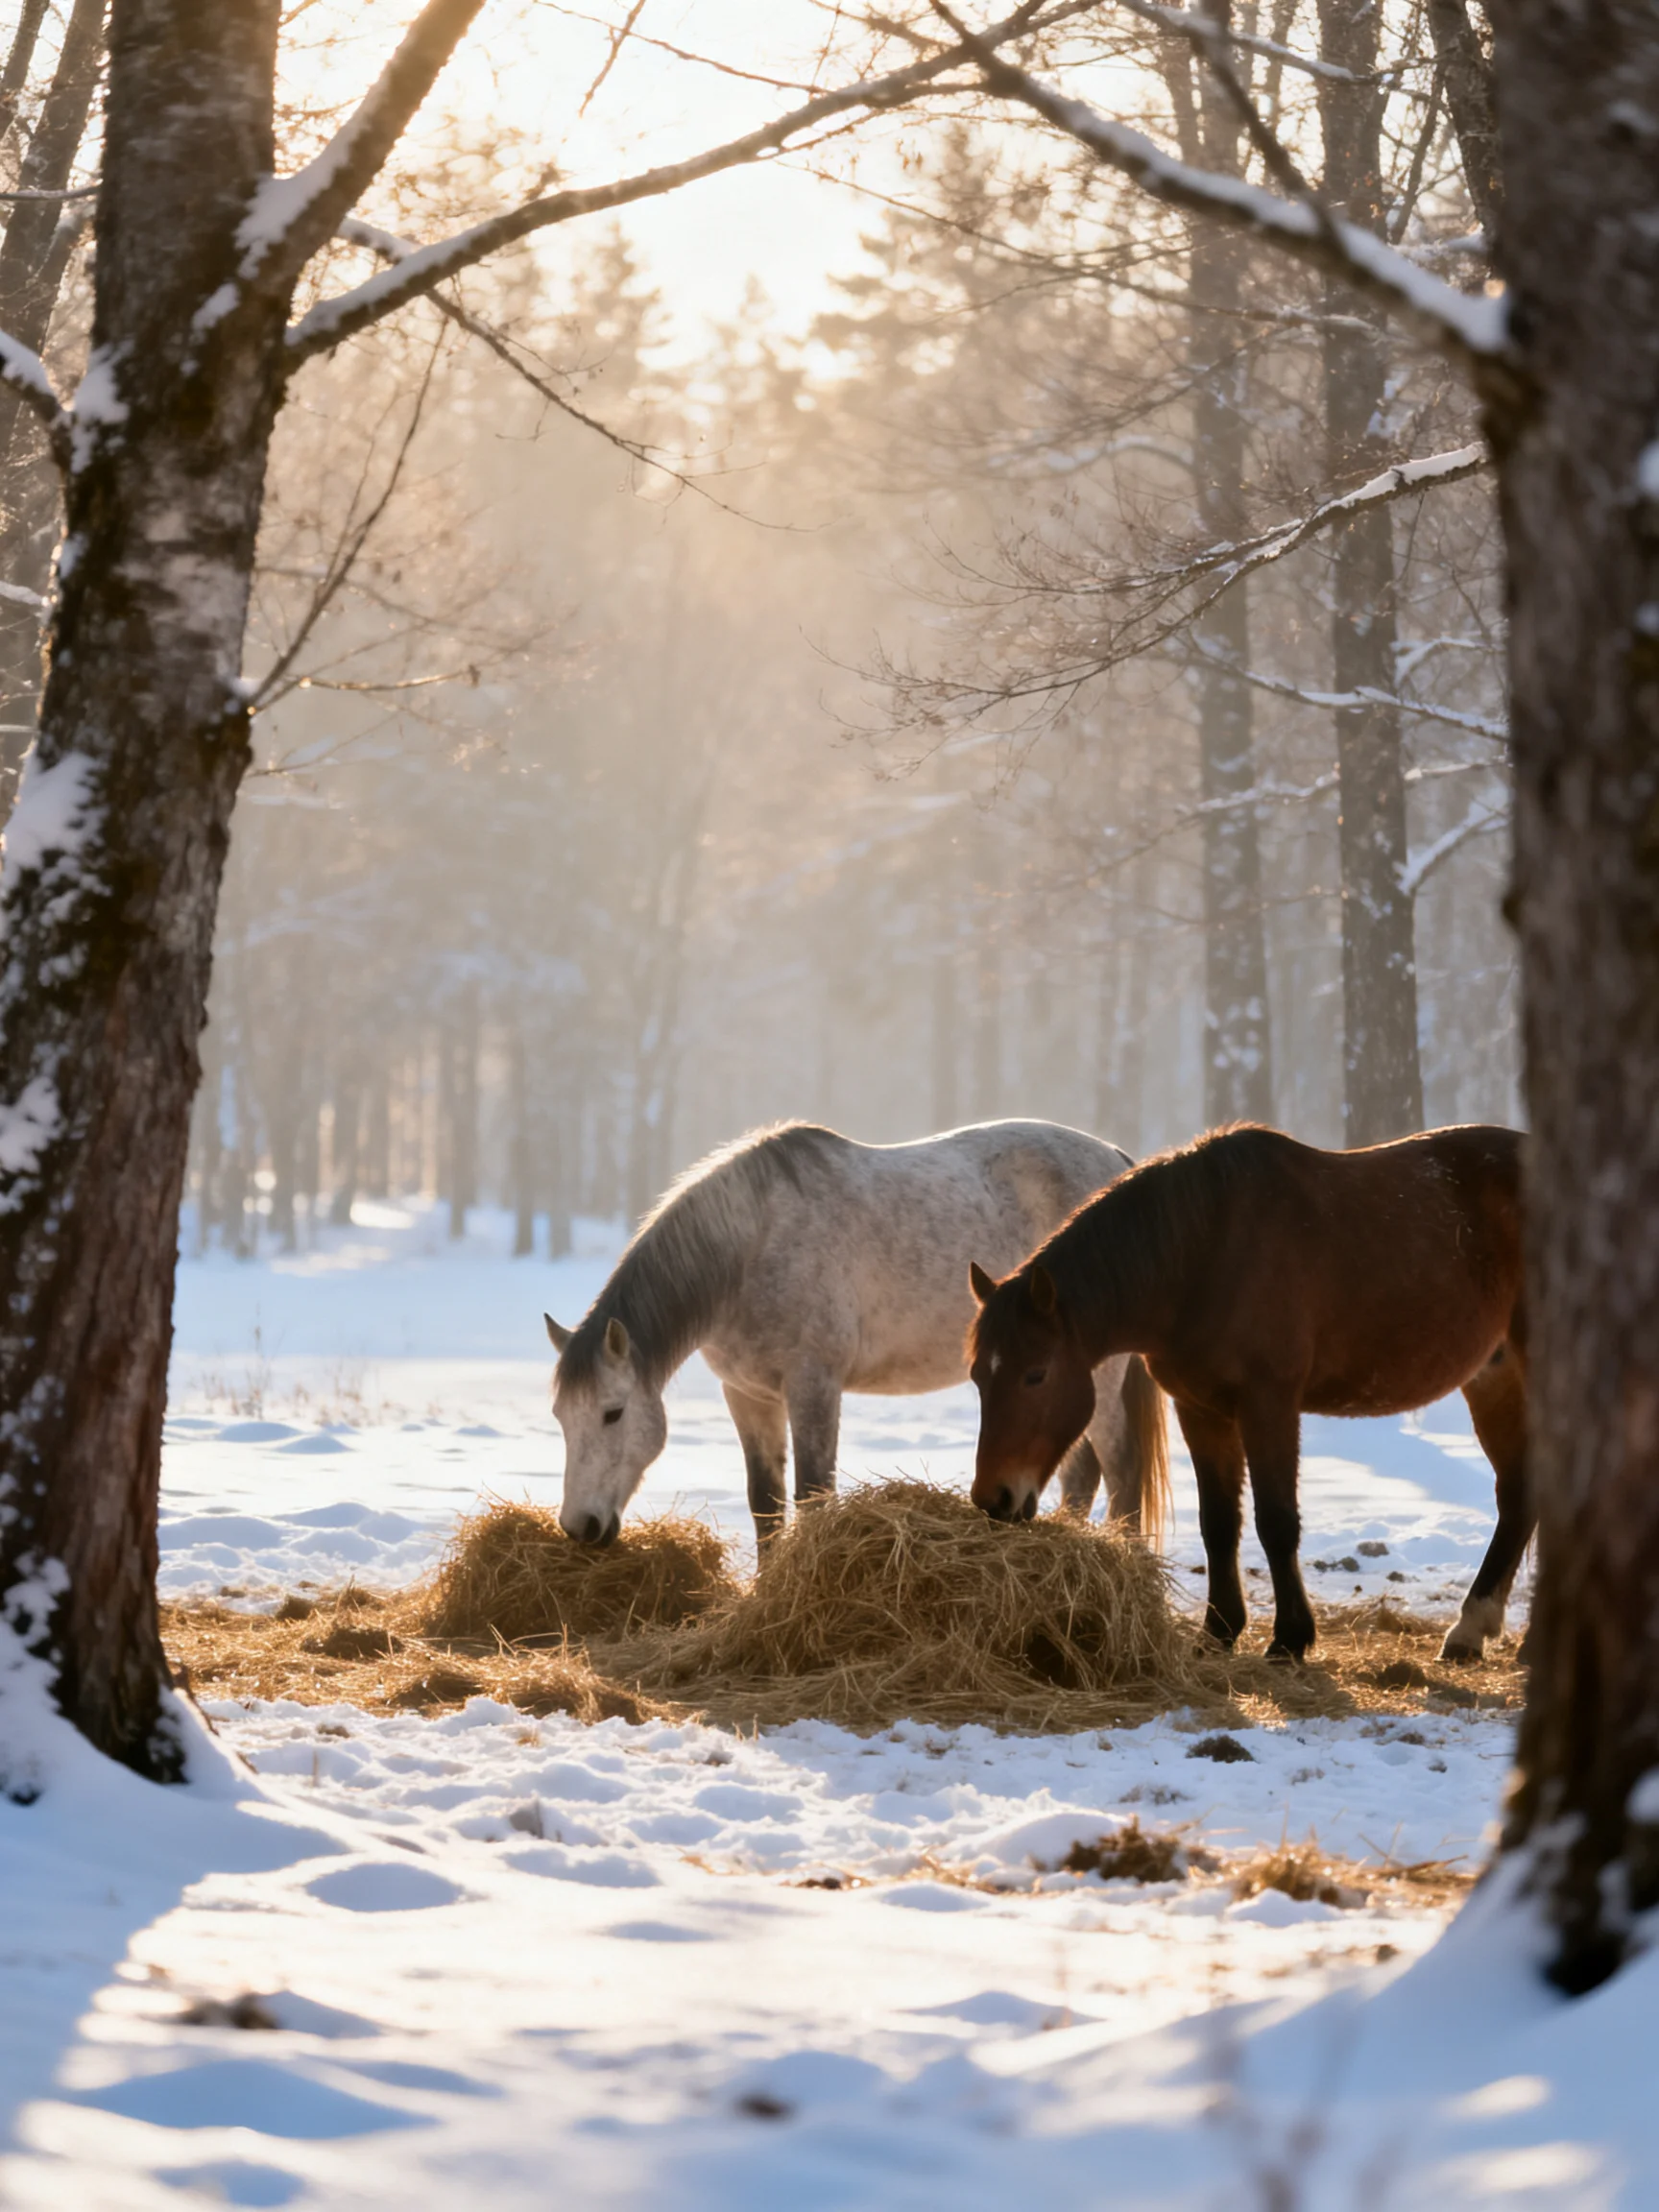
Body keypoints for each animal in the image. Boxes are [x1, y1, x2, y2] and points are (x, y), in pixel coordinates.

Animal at [545, 1119, 1170, 1550]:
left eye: (612, 1414)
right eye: (560, 1418)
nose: (580, 1526)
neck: (751, 1247)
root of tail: (1115, 1159)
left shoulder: (814, 1386)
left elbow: (813, 1496)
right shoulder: (747, 1394)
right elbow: (765, 1505)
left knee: (1121, 1471)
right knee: (1082, 1473)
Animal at [966, 1122, 1527, 1663]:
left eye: (1035, 1374)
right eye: (977, 1376)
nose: (994, 1499)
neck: (1203, 1255)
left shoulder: (1268, 1405)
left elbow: (1276, 1521)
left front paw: (1290, 1638)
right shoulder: (1199, 1409)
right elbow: (1219, 1523)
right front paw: (1218, 1631)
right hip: (1494, 1377)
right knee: (1518, 1494)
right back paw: (1473, 1632)